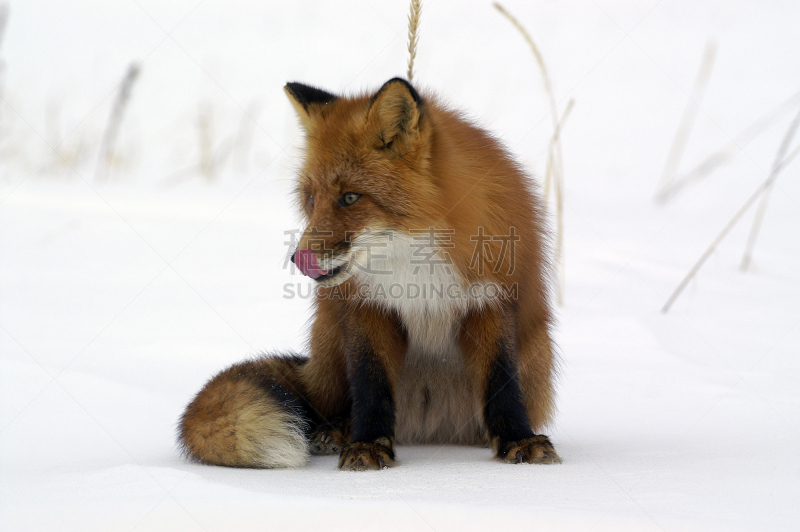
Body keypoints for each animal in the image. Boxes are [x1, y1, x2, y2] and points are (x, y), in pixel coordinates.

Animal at [178, 78, 560, 470]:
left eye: (350, 197)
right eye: (311, 199)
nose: (299, 259)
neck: (416, 269)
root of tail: (431, 428)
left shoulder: (490, 302)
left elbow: (502, 384)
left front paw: (518, 440)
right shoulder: (367, 308)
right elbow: (370, 384)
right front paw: (368, 445)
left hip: (537, 351)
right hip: (329, 339)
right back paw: (337, 430)